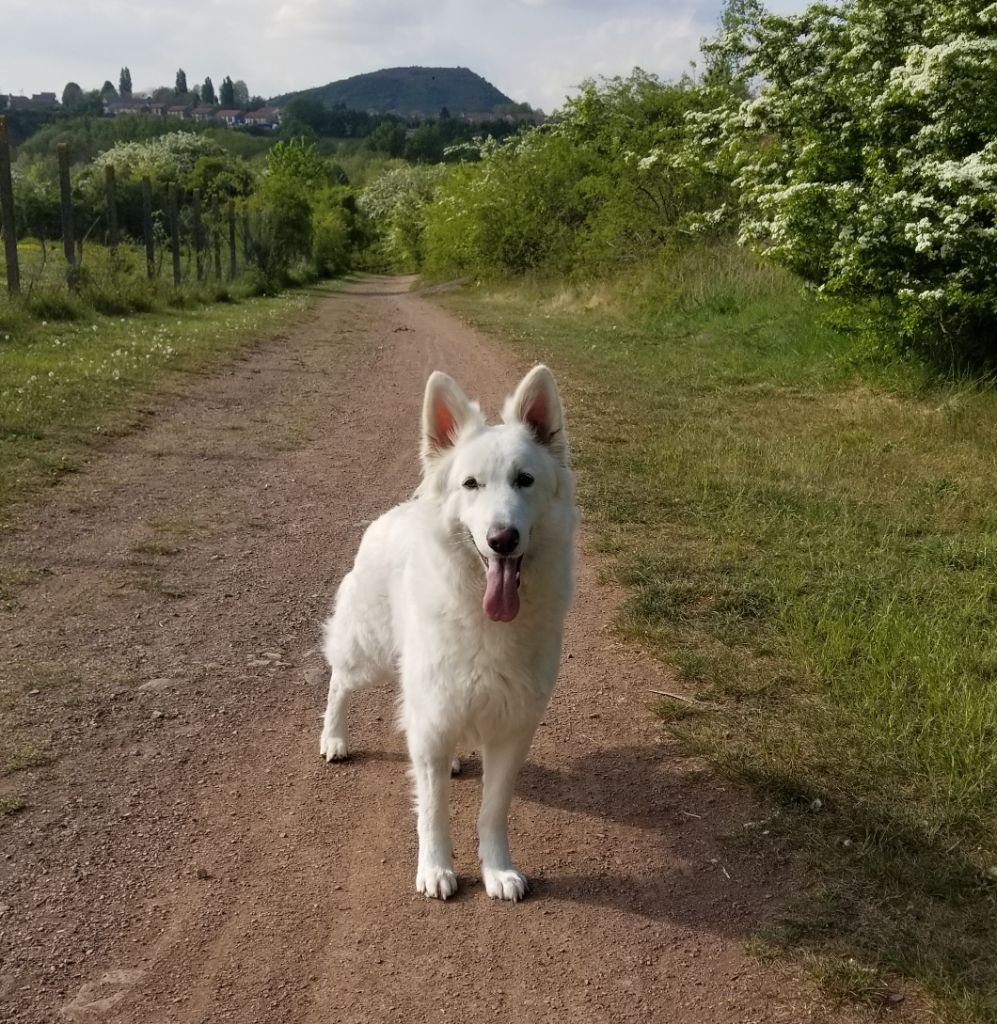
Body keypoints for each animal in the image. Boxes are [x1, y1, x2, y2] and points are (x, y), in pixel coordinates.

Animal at [319, 364, 577, 901]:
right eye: (471, 484)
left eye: (524, 481)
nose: (503, 539)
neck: (486, 615)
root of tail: (396, 511)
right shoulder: (434, 721)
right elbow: (433, 811)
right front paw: (435, 869)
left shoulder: (512, 730)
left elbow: (492, 811)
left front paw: (497, 870)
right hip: (368, 655)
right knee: (338, 682)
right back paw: (333, 738)